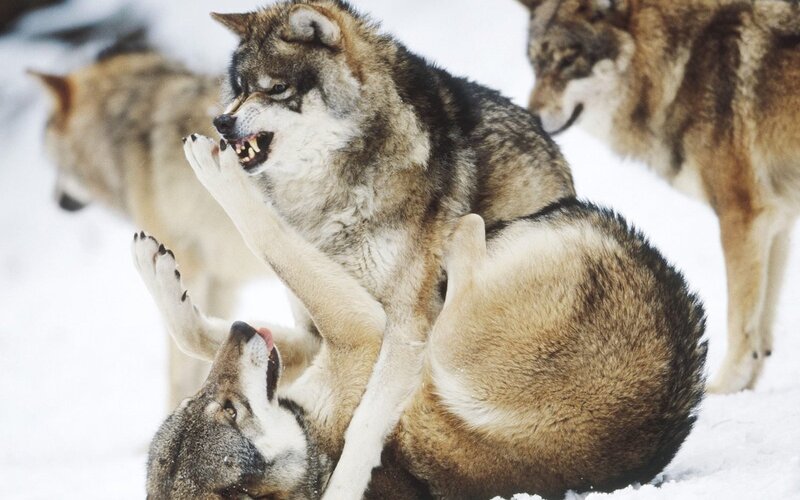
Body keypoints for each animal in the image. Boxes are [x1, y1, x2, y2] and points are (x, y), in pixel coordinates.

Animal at [135, 193, 707, 499]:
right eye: (229, 410)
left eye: (208, 403)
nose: (241, 330)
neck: (314, 452)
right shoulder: (364, 334)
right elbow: (271, 242)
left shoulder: (345, 341)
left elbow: (198, 331)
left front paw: (157, 269)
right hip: (453, 350)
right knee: (464, 256)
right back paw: (456, 238)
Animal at [172, 1, 577, 497]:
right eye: (240, 88)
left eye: (275, 89)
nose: (221, 122)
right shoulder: (317, 322)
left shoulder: (404, 328)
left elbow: (363, 425)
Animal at [517, 0, 800, 393]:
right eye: (535, 63)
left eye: (570, 60)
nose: (530, 116)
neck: (681, 65)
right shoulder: (778, 219)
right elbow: (762, 328)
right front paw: (746, 390)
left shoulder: (742, 217)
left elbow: (740, 322)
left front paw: (721, 390)